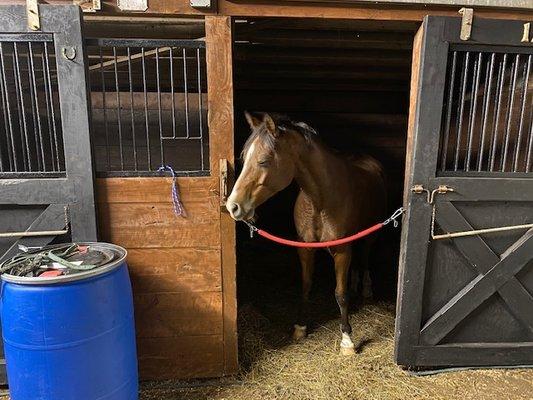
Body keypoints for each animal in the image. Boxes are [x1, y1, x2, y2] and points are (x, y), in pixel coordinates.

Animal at [225, 111, 386, 354]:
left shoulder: (342, 251)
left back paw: (366, 288)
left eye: (264, 161)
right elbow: (305, 286)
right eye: (244, 158)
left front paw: (347, 340)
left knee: (365, 256)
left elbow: (340, 294)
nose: (233, 206)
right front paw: (300, 327)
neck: (321, 201)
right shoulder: (305, 248)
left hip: (370, 234)